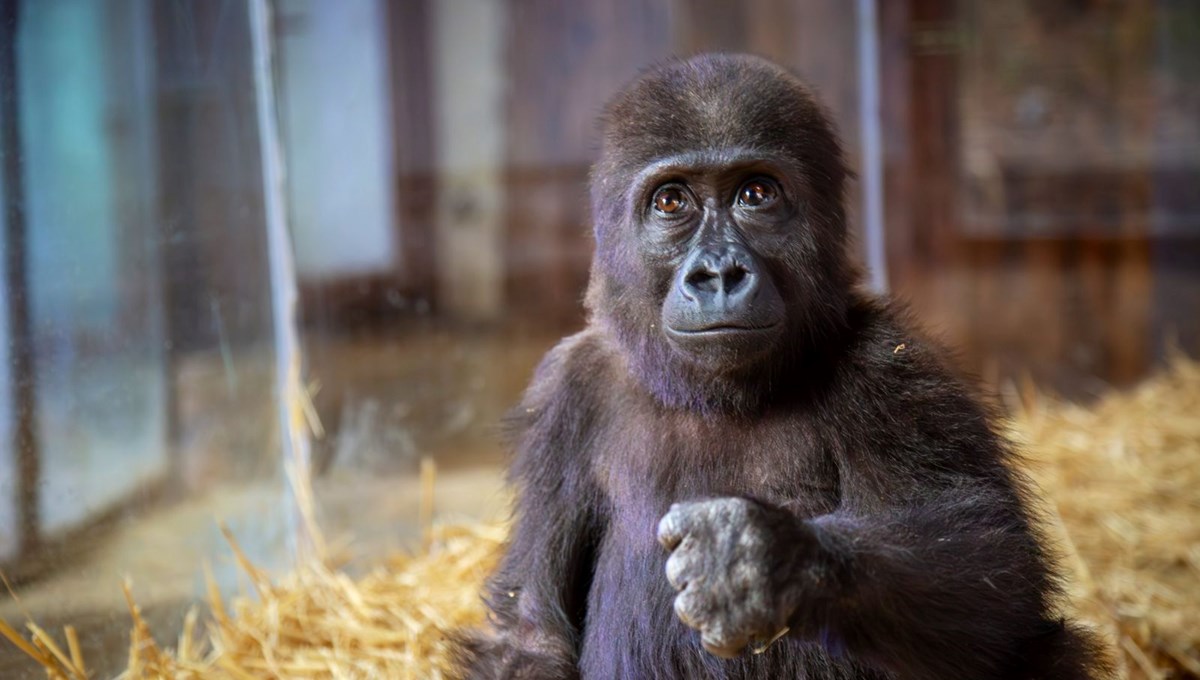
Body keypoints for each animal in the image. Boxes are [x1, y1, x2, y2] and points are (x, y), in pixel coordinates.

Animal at [456, 53, 1104, 680]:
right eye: (671, 201)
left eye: (756, 195)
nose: (718, 273)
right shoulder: (564, 395)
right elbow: (530, 634)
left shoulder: (892, 368)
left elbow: (996, 577)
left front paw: (766, 560)